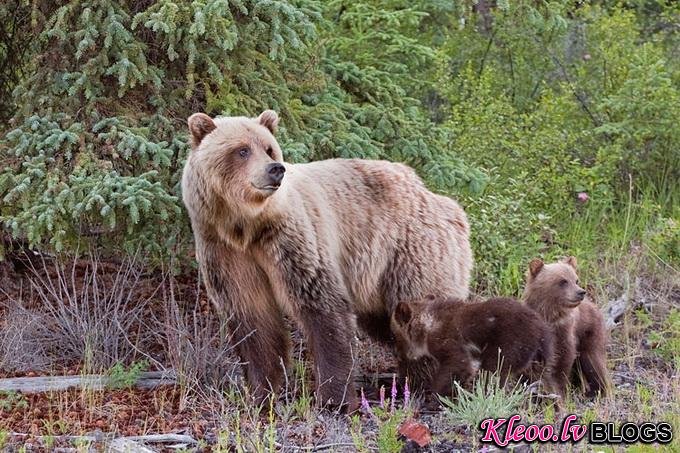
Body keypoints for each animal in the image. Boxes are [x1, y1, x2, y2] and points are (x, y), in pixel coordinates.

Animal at [182, 110, 472, 410]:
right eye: (242, 150)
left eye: (269, 148)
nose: (275, 169)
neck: (247, 226)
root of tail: (435, 196)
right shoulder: (226, 251)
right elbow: (253, 320)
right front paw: (261, 392)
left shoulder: (292, 239)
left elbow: (322, 306)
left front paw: (335, 398)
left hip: (410, 250)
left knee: (422, 311)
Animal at [390, 294, 556, 398]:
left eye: (395, 337)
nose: (399, 356)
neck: (427, 328)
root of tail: (541, 330)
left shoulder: (449, 340)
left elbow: (457, 364)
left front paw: (438, 393)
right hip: (534, 355)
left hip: (509, 342)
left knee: (494, 370)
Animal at [524, 256, 608, 398]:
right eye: (563, 281)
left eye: (576, 279)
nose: (581, 292)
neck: (550, 315)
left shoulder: (564, 331)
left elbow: (563, 358)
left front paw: (558, 387)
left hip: (589, 332)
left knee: (592, 360)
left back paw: (596, 390)